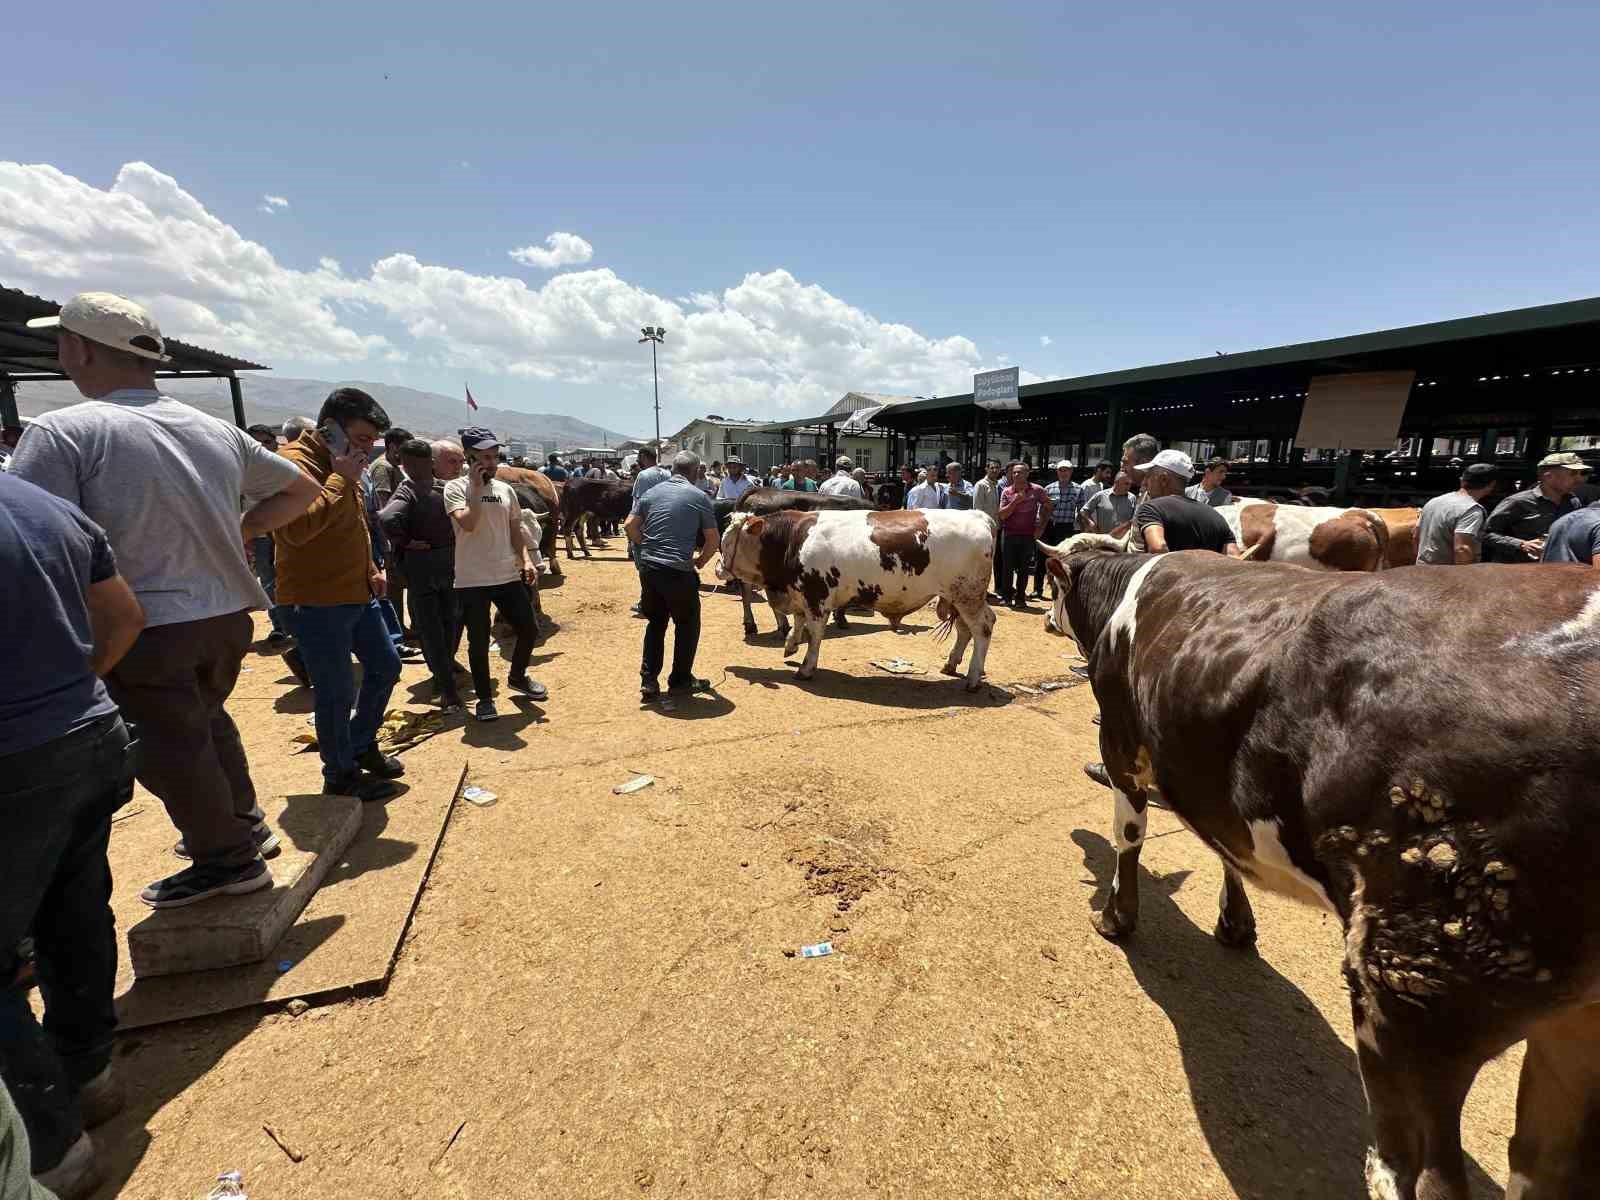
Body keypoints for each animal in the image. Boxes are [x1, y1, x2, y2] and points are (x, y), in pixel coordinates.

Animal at [716, 508, 992, 691]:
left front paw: (806, 667)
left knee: (982, 629)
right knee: (968, 628)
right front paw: (791, 644)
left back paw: (973, 678)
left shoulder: (816, 597)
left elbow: (814, 634)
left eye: (727, 542)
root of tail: (979, 515)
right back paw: (952, 665)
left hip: (967, 595)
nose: (718, 569)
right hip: (960, 597)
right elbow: (798, 620)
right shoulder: (801, 594)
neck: (793, 539)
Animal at [1036, 540, 1600, 1196]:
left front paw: (1117, 918)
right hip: (1568, 1034)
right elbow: (1224, 849)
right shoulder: (1206, 779)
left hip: (1410, 990)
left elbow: (1129, 834)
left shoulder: (1124, 745)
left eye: (1053, 581)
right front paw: (1235, 924)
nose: (1046, 619)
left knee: (1411, 1170)